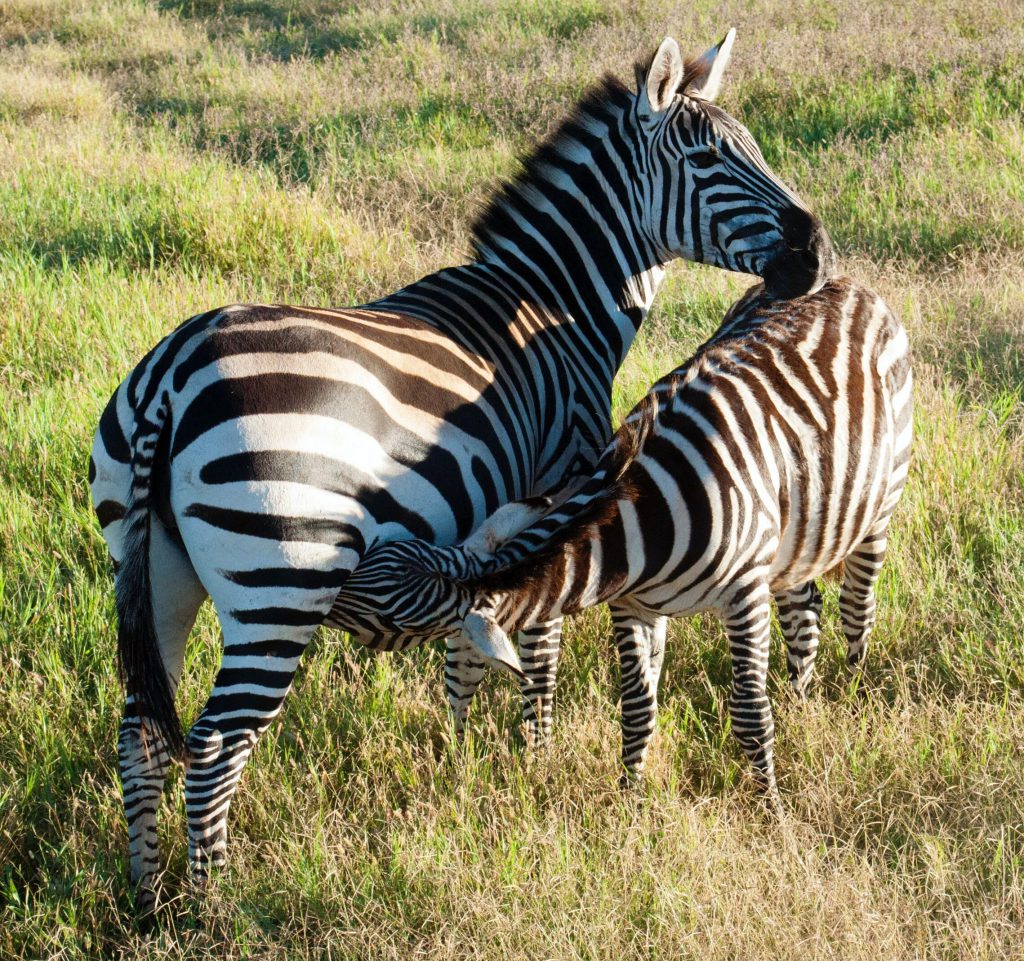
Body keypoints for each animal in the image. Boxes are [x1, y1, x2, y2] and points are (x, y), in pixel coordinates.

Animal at [91, 31, 836, 906]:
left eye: (753, 148)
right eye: (709, 158)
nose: (815, 253)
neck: (552, 304)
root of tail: (171, 376)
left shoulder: (492, 516)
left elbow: (468, 645)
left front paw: (463, 747)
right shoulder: (560, 480)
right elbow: (541, 643)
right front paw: (536, 754)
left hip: (155, 570)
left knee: (140, 730)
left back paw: (148, 893)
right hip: (280, 582)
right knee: (212, 747)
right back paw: (215, 906)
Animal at [333, 276, 914, 810]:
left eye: (388, 619)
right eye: (374, 559)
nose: (323, 586)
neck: (640, 526)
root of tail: (848, 283)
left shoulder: (745, 594)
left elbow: (750, 712)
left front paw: (770, 808)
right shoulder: (633, 605)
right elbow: (637, 709)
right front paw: (630, 799)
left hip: (879, 506)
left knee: (857, 607)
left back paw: (851, 691)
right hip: (798, 532)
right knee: (803, 606)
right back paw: (800, 699)